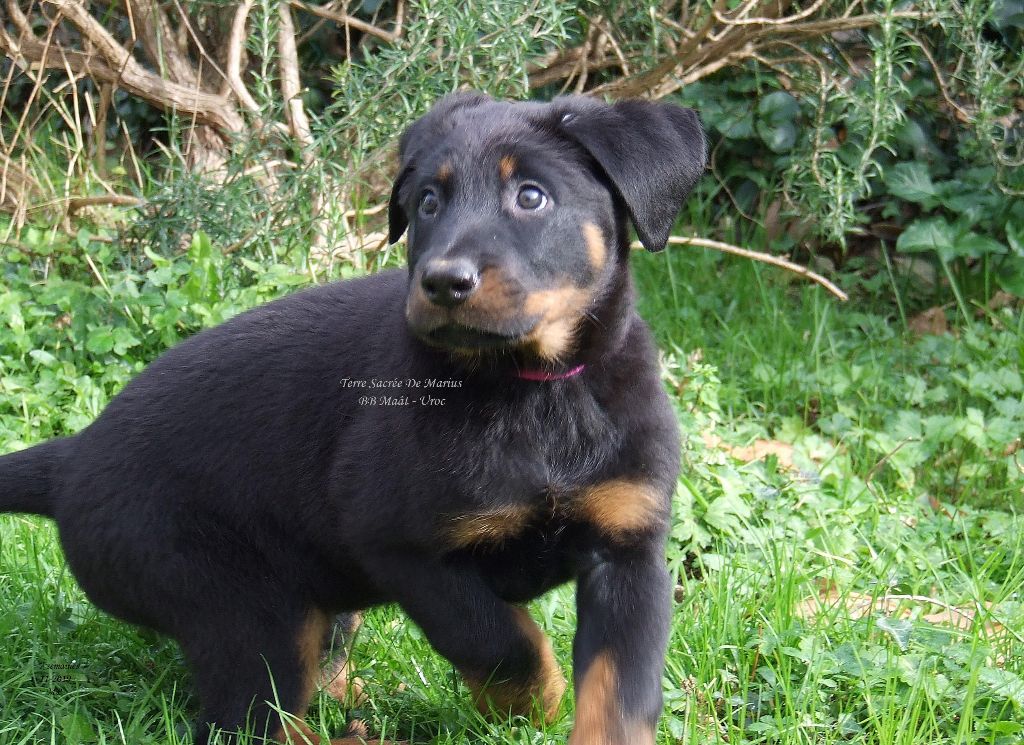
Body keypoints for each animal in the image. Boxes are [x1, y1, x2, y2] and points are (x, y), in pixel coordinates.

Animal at [0, 92, 706, 744]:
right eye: (427, 203)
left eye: (531, 197)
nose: (443, 282)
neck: (533, 389)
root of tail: (72, 457)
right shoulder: (401, 547)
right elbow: (502, 642)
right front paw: (533, 704)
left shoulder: (629, 551)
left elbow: (619, 695)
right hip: (240, 604)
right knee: (245, 718)